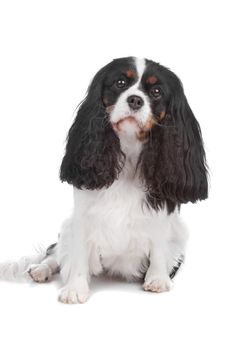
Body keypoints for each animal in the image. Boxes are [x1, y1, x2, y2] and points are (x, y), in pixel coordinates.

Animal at [0, 57, 208, 304]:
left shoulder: (162, 214)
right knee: (56, 253)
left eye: (156, 92)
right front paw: (75, 289)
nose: (135, 100)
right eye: (120, 83)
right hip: (67, 226)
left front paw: (157, 279)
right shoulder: (82, 213)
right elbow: (77, 253)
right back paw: (41, 269)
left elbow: (158, 244)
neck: (128, 151)